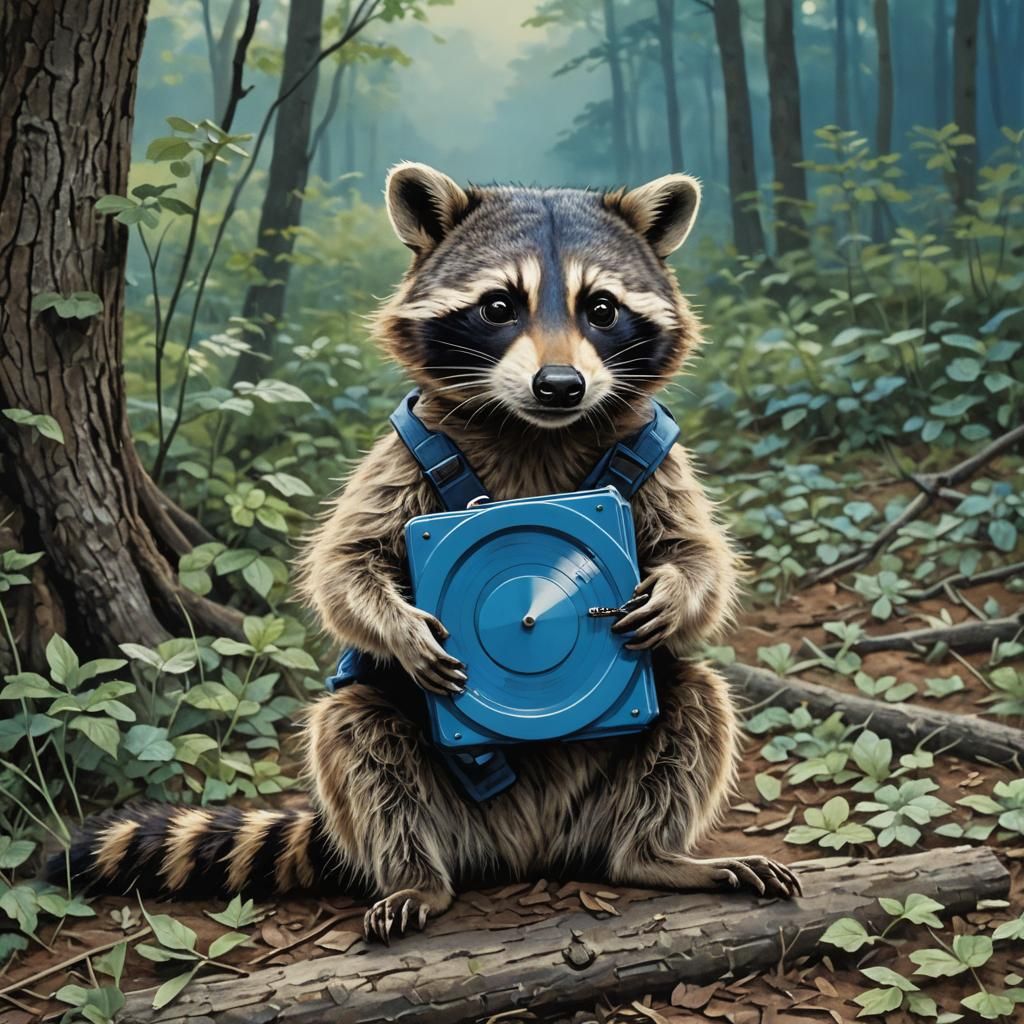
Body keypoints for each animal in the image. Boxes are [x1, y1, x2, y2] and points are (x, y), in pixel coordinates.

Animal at [59, 164, 799, 940]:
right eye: (499, 306)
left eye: (601, 309)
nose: (560, 386)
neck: (534, 429)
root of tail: (531, 851)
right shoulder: (404, 447)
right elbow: (342, 564)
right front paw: (400, 628)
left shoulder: (654, 448)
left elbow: (703, 555)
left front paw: (676, 592)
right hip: (425, 789)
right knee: (358, 738)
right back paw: (418, 877)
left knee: (695, 698)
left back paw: (654, 855)